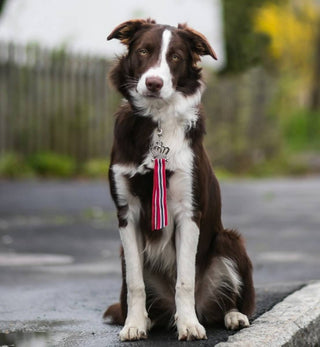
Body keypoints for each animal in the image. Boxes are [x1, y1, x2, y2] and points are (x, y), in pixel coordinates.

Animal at [104, 19, 254, 342]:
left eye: (175, 57)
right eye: (143, 51)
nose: (153, 83)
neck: (156, 122)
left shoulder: (189, 211)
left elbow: (185, 279)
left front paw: (189, 325)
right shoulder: (127, 212)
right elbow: (135, 282)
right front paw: (134, 324)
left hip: (229, 241)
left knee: (233, 301)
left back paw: (233, 315)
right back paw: (149, 320)